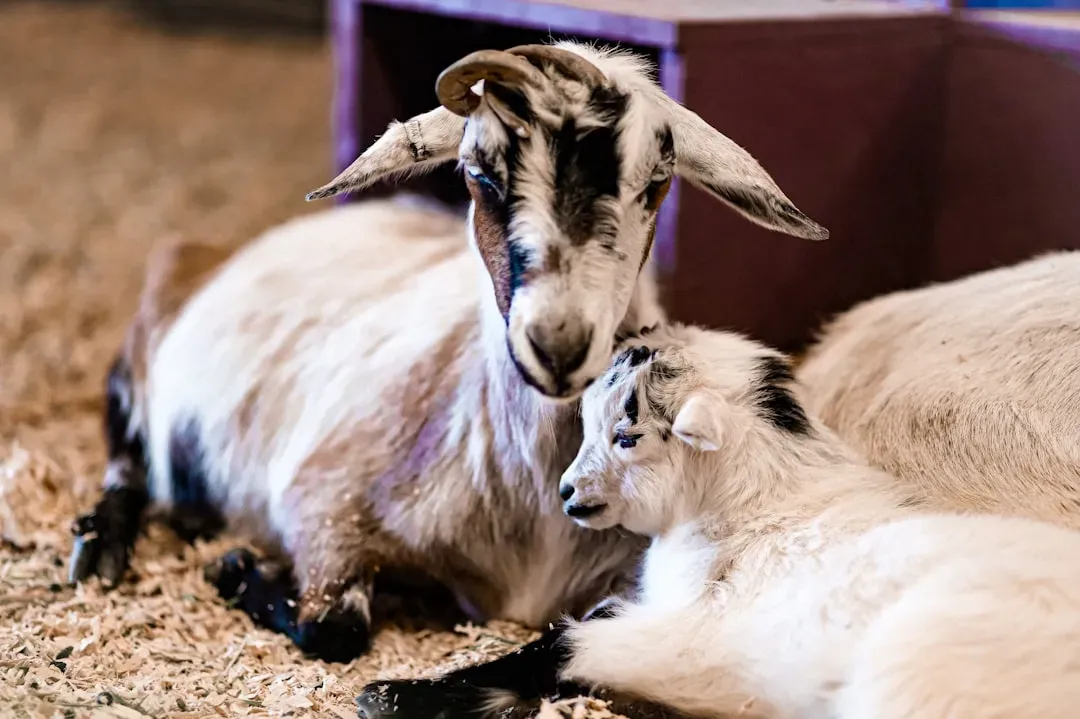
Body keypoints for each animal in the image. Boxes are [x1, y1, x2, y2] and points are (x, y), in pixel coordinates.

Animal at [67, 42, 828, 663]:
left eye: (656, 181)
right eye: (479, 173)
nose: (558, 344)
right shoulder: (322, 501)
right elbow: (333, 626)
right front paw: (238, 569)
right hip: (140, 356)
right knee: (126, 454)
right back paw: (97, 547)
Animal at [355, 322, 1080, 719]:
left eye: (627, 436)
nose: (566, 492)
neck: (760, 509)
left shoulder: (698, 645)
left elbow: (564, 645)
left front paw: (389, 695)